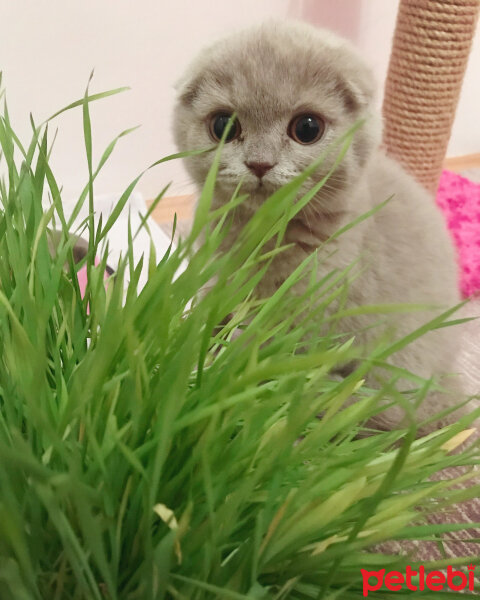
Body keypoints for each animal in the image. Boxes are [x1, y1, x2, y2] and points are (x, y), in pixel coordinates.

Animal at [172, 21, 464, 428]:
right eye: (223, 125)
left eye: (307, 128)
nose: (260, 163)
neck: (264, 235)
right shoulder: (216, 275)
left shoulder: (310, 310)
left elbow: (259, 349)